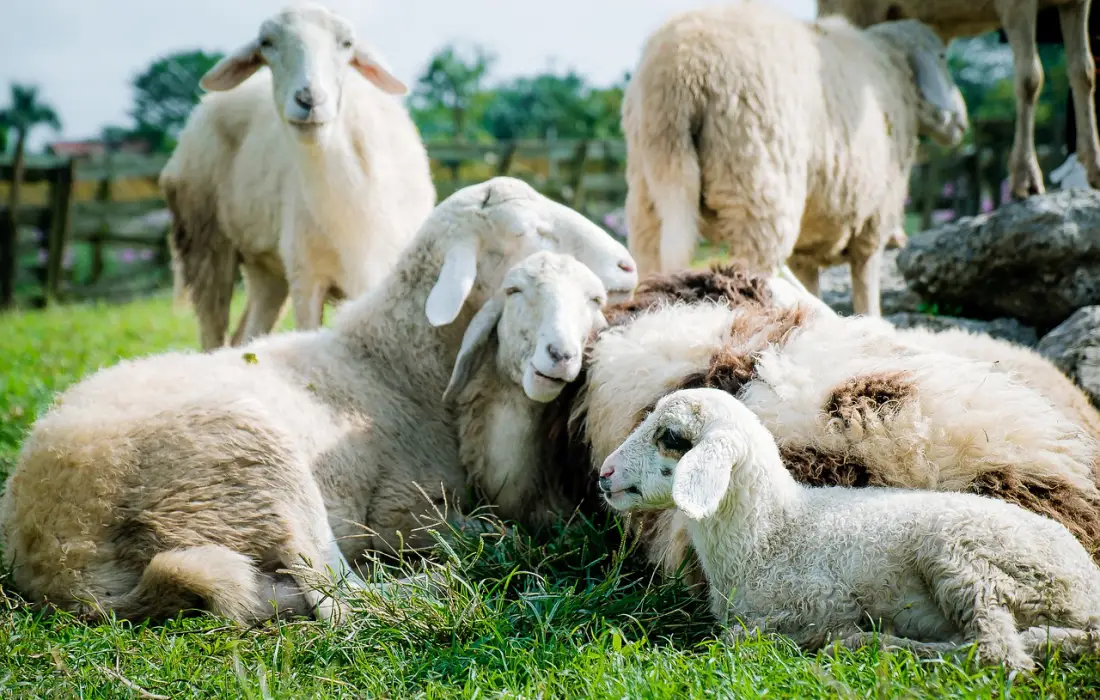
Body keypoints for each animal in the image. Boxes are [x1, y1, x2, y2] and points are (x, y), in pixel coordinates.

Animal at [160, 4, 435, 350]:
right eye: (266, 43)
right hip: (205, 241)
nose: (309, 99)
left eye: (347, 43)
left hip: (266, 267)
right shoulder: (307, 277)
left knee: (246, 335)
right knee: (214, 334)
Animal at [602, 387, 1100, 673]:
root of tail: (1087, 586)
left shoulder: (820, 601)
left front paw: (831, 639)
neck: (772, 533)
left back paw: (874, 645)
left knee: (997, 654)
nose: (604, 474)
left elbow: (746, 636)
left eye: (670, 436)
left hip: (967, 556)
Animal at [624, 0, 968, 314]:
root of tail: (680, 70)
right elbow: (867, 292)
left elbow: (813, 286)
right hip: (756, 185)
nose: (962, 123)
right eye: (942, 57)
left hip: (652, 183)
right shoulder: (873, 220)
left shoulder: (808, 247)